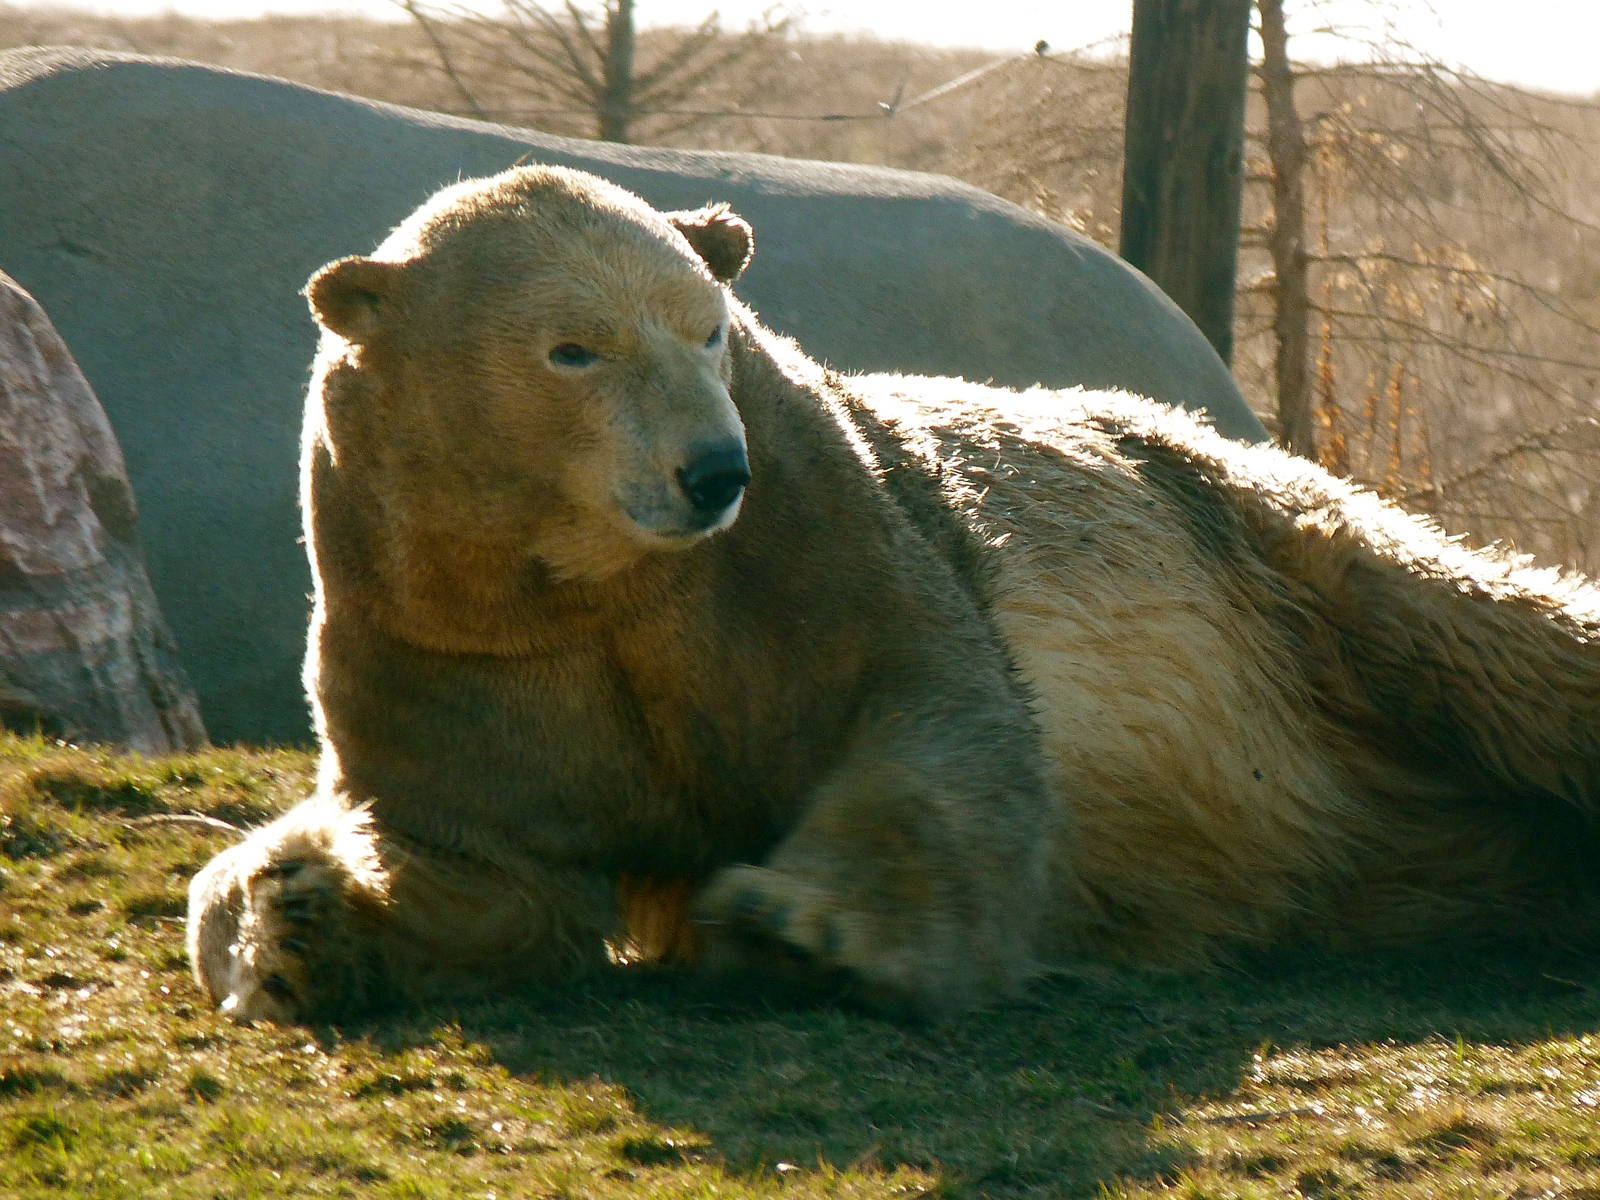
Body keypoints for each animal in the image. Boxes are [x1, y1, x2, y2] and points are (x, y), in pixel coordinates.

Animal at [187, 164, 1600, 1025]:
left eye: (708, 327)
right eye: (571, 350)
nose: (711, 470)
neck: (591, 583)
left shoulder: (821, 535)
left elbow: (929, 716)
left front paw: (802, 927)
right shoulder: (443, 637)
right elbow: (480, 852)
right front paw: (302, 921)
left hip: (1267, 550)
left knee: (1486, 638)